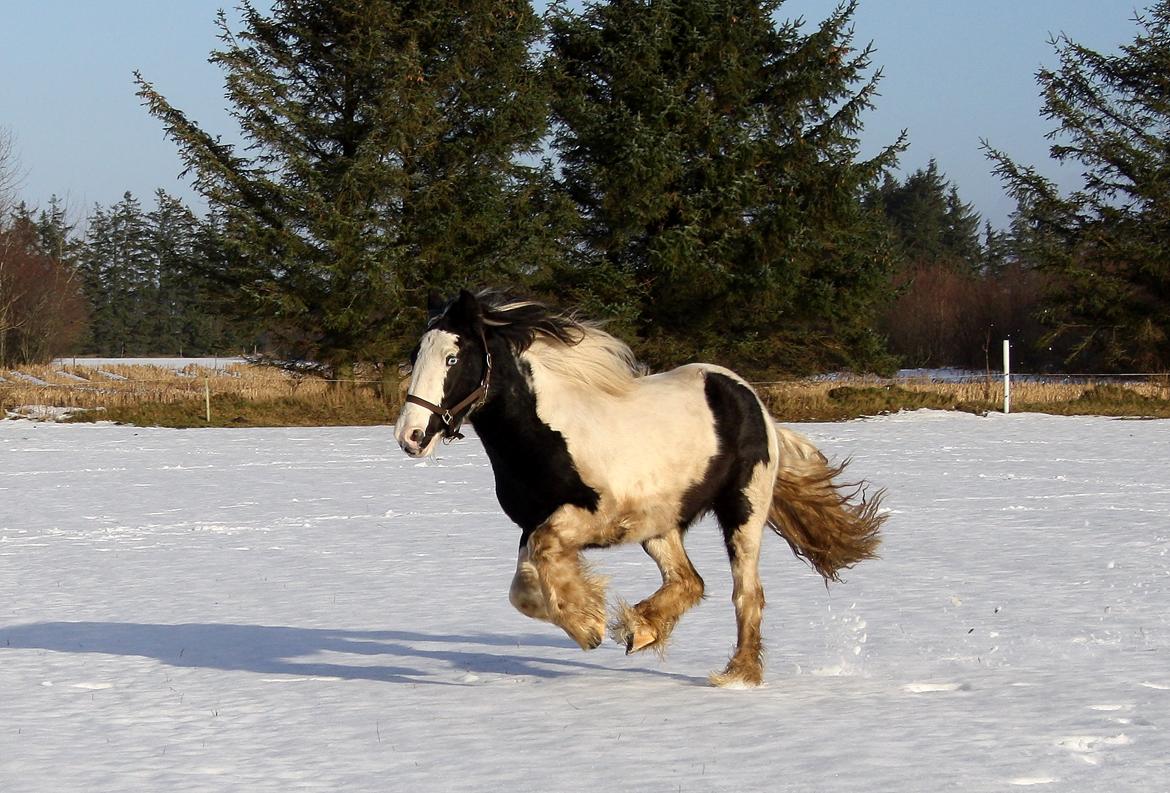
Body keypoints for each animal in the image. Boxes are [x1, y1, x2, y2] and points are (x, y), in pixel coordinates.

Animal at [395, 288, 884, 687]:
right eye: (417, 355)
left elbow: (545, 556)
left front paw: (587, 623)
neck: (547, 433)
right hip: (662, 525)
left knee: (747, 593)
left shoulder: (596, 518)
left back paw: (738, 674)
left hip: (743, 512)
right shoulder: (531, 523)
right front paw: (592, 621)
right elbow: (523, 590)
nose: (410, 436)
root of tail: (751, 398)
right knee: (689, 581)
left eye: (453, 358)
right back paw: (641, 628)